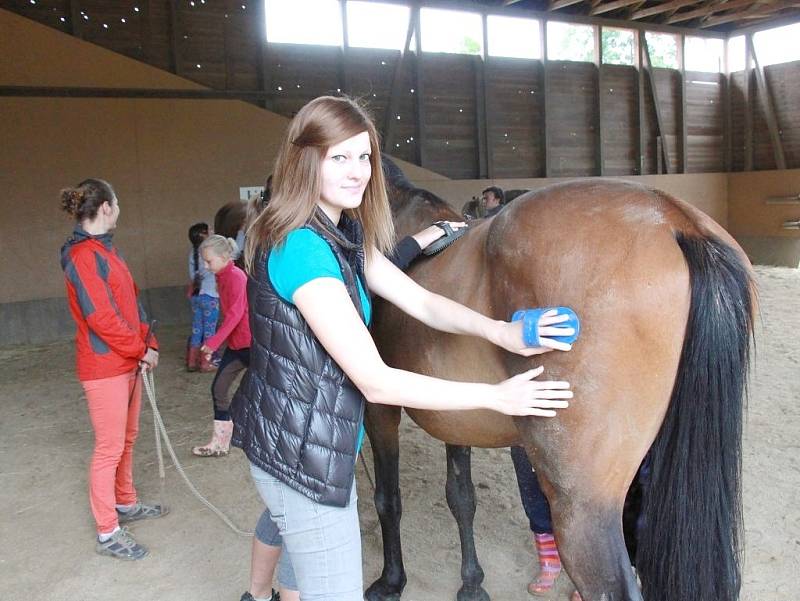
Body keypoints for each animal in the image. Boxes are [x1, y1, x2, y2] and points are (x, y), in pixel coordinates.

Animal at [366, 157, 752, 600]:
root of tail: (674, 219)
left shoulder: (379, 409)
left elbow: (388, 498)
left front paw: (391, 581)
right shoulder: (455, 415)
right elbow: (461, 498)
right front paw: (472, 583)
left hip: (582, 505)